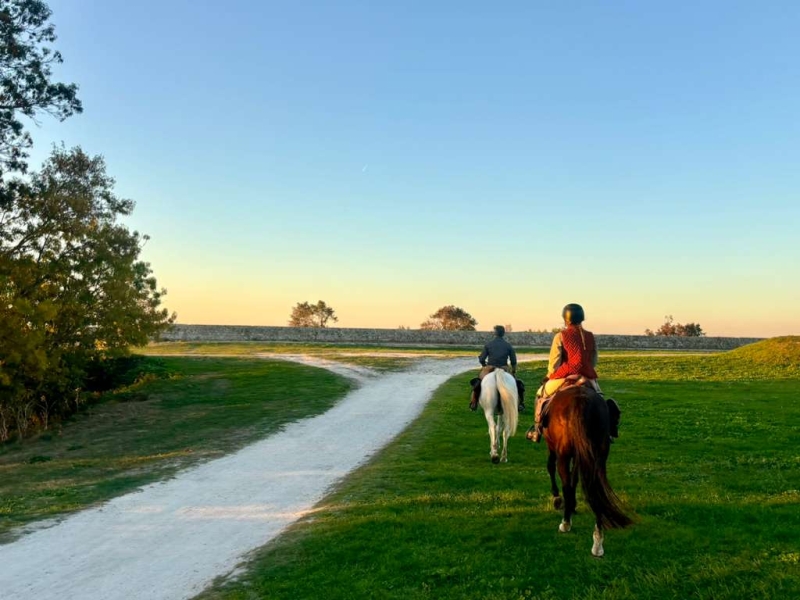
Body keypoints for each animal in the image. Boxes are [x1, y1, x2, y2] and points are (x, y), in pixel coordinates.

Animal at [539, 385, 631, 556]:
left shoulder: (553, 447)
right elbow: (575, 478)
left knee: (565, 483)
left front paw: (557, 499)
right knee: (595, 487)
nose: (615, 432)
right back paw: (598, 541)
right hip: (598, 455)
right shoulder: (580, 454)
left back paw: (566, 523)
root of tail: (580, 401)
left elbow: (552, 468)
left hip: (563, 454)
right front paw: (573, 505)